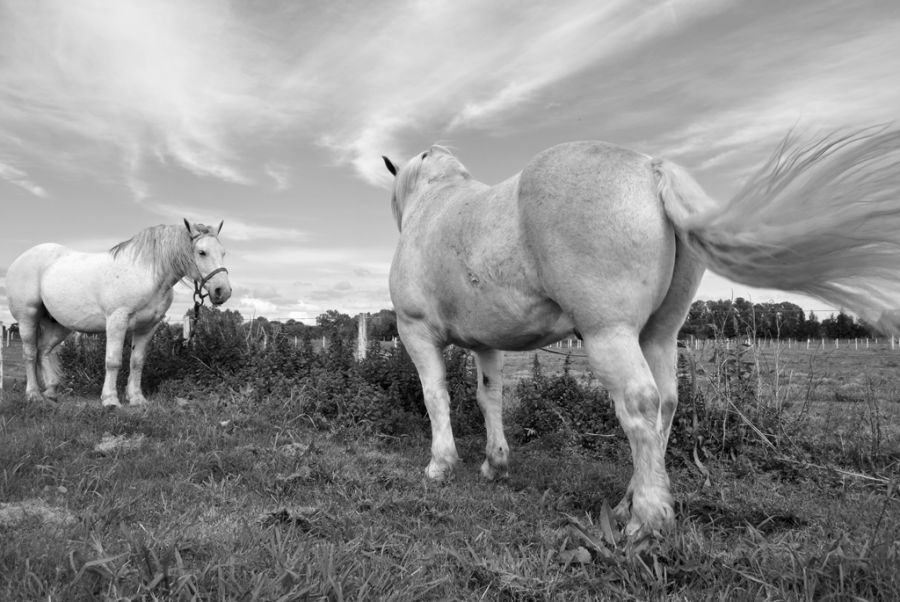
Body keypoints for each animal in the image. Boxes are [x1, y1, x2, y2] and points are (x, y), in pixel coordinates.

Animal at [7, 218, 232, 406]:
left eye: (223, 252)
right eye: (202, 252)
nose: (223, 291)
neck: (145, 273)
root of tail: (21, 260)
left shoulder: (148, 327)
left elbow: (137, 362)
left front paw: (136, 398)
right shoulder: (117, 321)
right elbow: (113, 361)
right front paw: (110, 400)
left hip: (59, 325)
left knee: (44, 351)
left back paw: (52, 391)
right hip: (27, 318)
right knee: (30, 354)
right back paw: (33, 394)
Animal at [384, 127, 900, 536]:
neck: (434, 204)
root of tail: (651, 169)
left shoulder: (416, 333)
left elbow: (435, 396)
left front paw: (440, 465)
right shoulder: (487, 345)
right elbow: (489, 398)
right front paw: (495, 464)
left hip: (609, 334)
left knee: (640, 403)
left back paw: (647, 519)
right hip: (659, 336)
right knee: (666, 405)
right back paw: (629, 502)